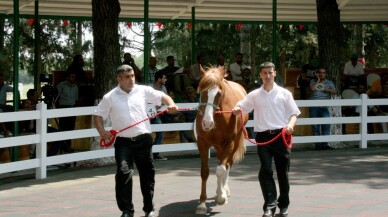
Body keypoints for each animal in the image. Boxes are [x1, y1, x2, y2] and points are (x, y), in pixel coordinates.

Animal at [194, 65, 249, 214]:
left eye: (219, 93)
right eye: (202, 92)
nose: (207, 123)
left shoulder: (229, 143)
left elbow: (220, 170)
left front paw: (220, 197)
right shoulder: (202, 143)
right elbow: (205, 172)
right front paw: (202, 204)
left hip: (233, 143)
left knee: (227, 164)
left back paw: (224, 191)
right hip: (219, 146)